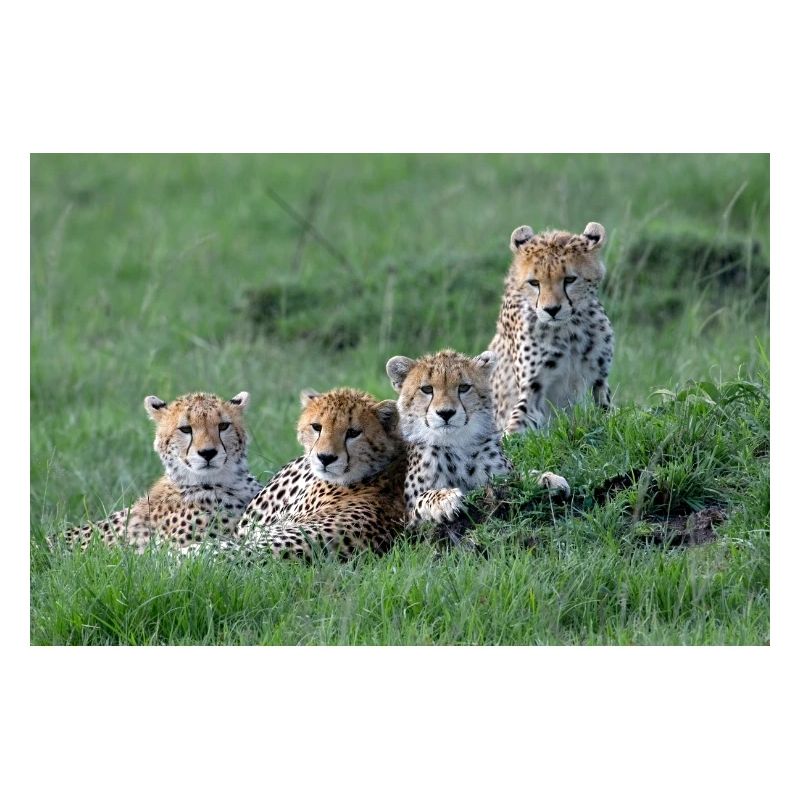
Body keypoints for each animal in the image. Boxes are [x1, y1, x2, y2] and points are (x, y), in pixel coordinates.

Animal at [385, 348, 569, 528]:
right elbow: (423, 498)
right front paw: (445, 499)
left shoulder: (500, 477)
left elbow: (517, 475)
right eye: (427, 389)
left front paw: (547, 479)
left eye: (464, 387)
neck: (455, 443)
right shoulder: (406, 520)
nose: (446, 413)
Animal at [489, 221, 615, 435]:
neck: (570, 331)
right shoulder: (532, 391)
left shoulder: (599, 380)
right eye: (534, 282)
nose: (552, 310)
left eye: (570, 279)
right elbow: (515, 428)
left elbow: (608, 412)